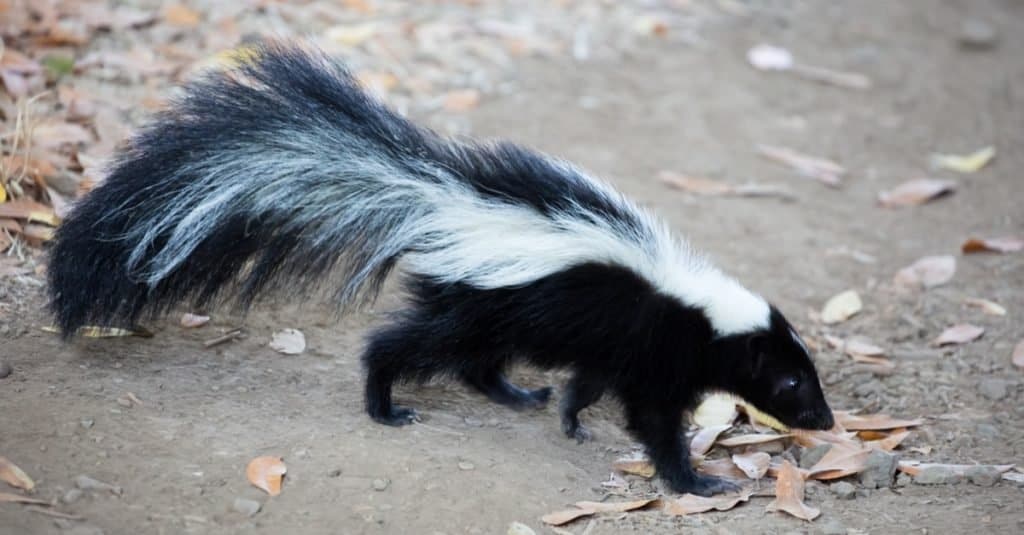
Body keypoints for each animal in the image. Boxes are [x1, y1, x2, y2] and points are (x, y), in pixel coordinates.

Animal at [46, 41, 831, 496]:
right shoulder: (650, 346)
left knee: (478, 364)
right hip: (475, 307)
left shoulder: (620, 347)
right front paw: (695, 481)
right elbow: (653, 420)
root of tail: (442, 201)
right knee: (403, 345)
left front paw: (572, 419)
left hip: (491, 309)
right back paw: (384, 404)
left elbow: (588, 383)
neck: (696, 307)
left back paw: (518, 395)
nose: (823, 420)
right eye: (793, 380)